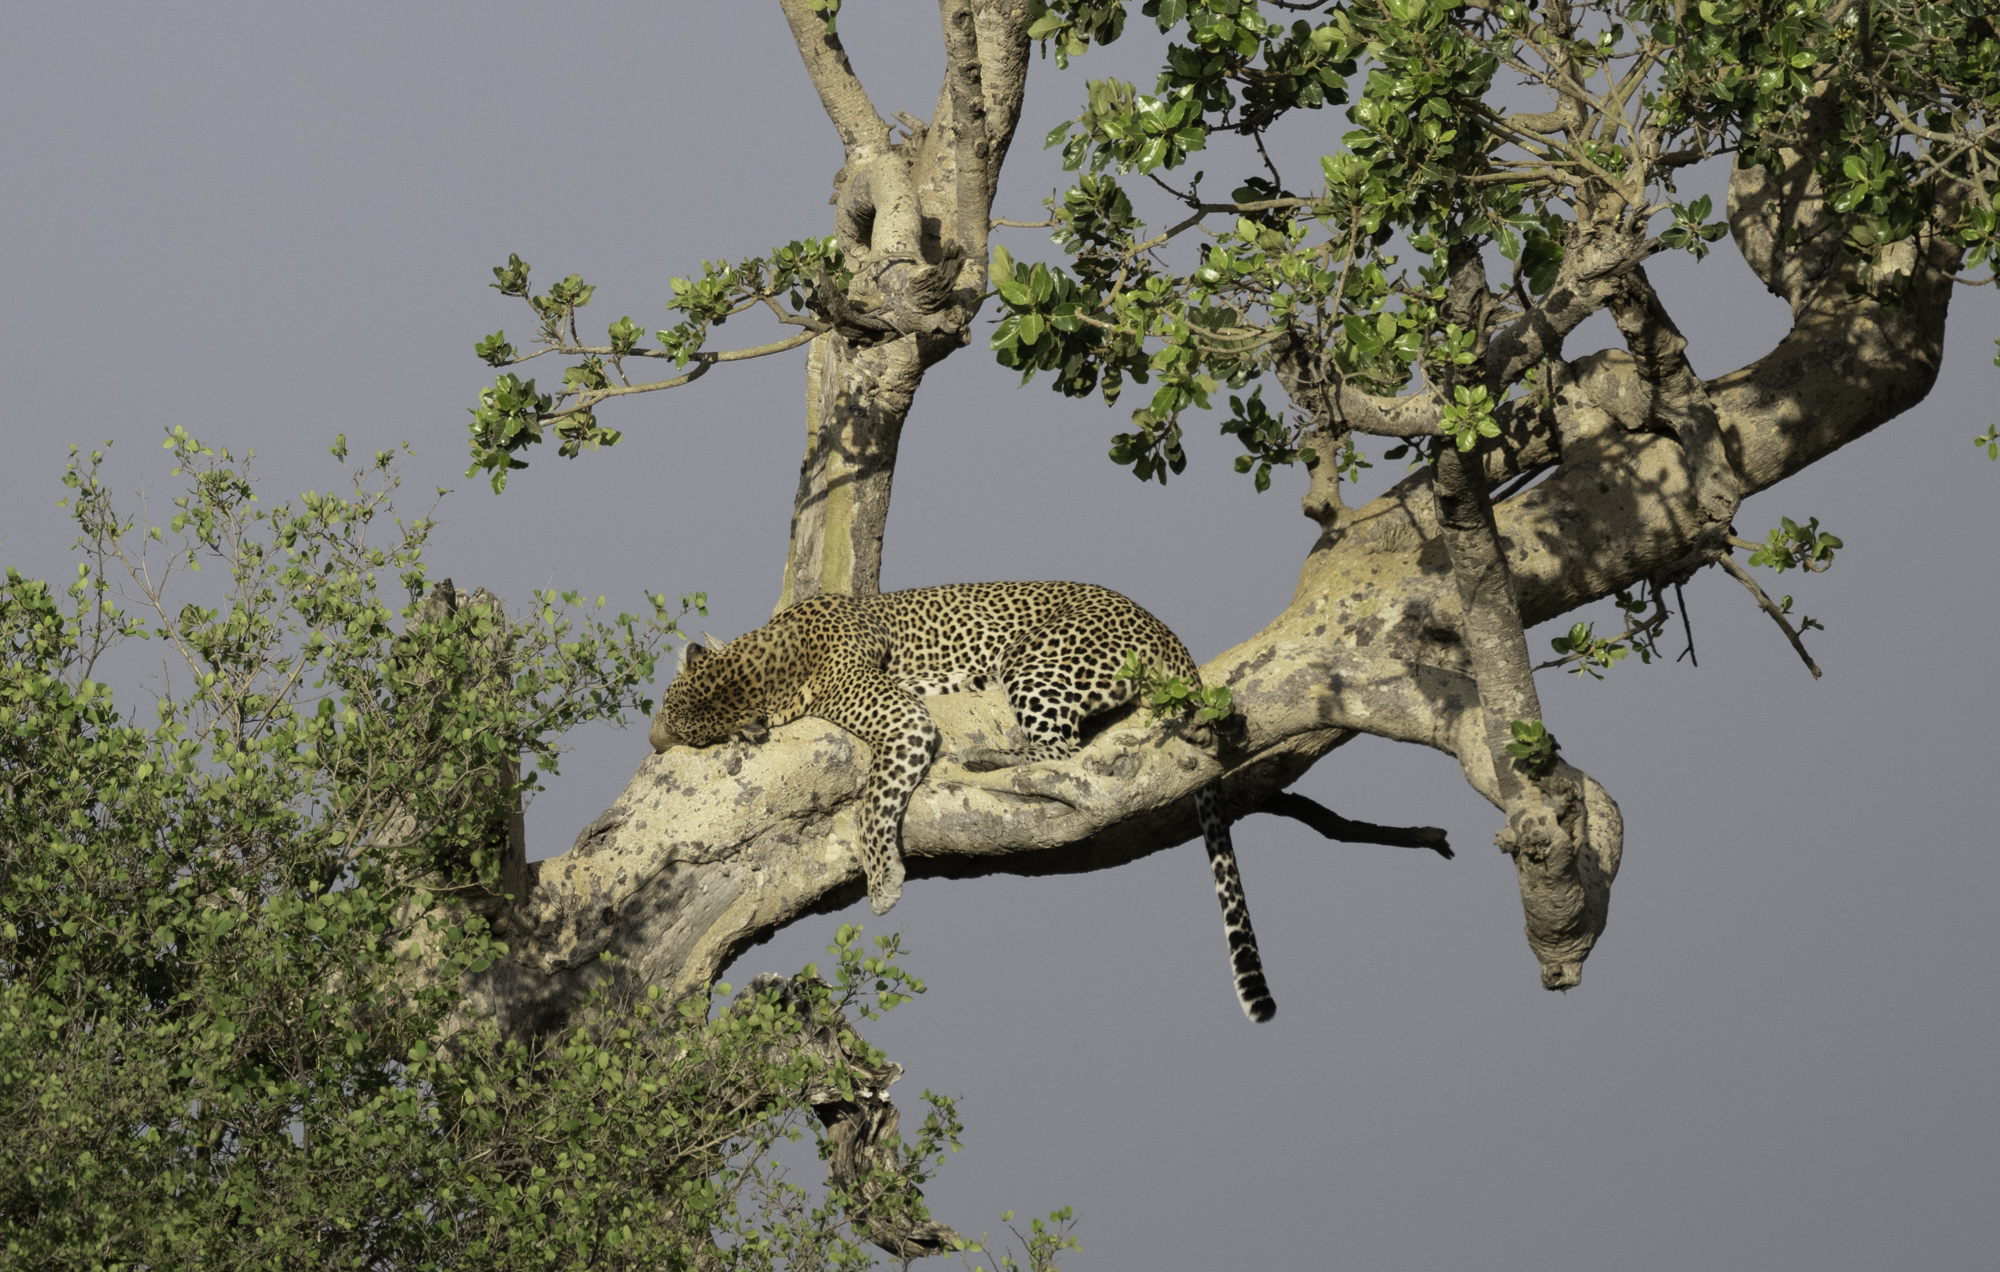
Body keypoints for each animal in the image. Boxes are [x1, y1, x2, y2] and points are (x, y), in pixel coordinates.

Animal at [649, 581, 1276, 1023]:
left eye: (678, 730)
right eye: (665, 713)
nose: (652, 743)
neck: (769, 659)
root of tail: (1165, 629)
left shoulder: (903, 721)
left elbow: (873, 802)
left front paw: (883, 882)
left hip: (1035, 663)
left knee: (1065, 753)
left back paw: (988, 759)